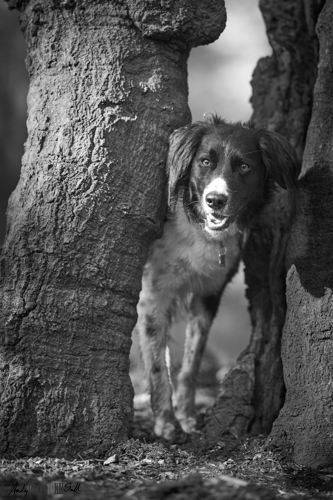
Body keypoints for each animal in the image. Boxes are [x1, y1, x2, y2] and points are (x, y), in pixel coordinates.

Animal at [134, 116, 298, 438]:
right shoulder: (153, 297)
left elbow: (191, 363)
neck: (200, 230)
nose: (215, 200)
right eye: (205, 161)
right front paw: (166, 422)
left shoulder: (209, 294)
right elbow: (159, 366)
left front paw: (186, 416)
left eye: (244, 166)